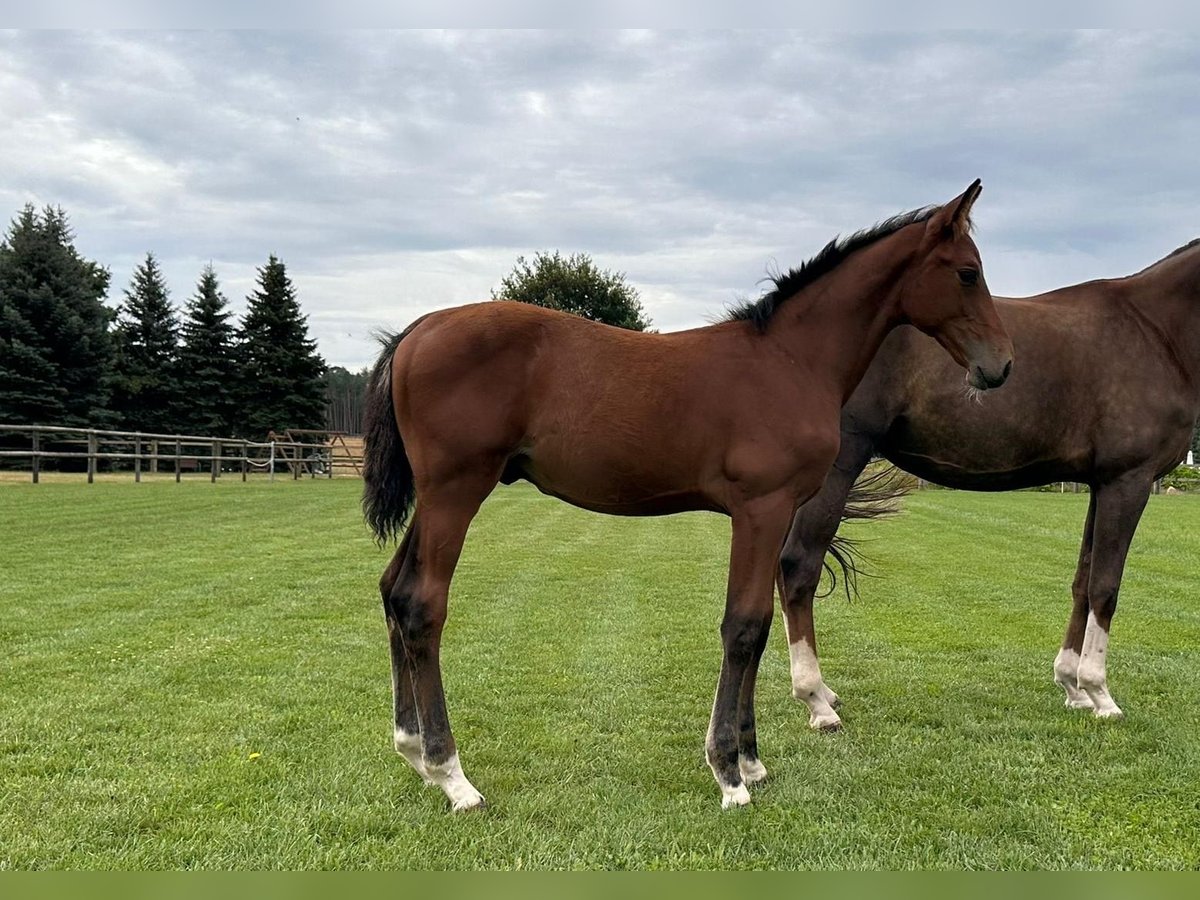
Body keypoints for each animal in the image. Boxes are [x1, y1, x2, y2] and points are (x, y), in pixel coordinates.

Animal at [357, 181, 1012, 811]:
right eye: (968, 272)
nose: (1000, 367)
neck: (790, 360)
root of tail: (417, 331)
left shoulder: (774, 514)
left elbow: (760, 625)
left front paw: (752, 761)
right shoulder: (760, 509)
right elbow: (742, 626)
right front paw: (729, 773)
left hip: (437, 499)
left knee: (394, 590)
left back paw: (413, 751)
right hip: (456, 491)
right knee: (422, 605)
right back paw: (451, 775)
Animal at [772, 234, 1200, 734]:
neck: (1156, 330)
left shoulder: (1100, 484)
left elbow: (1082, 580)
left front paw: (1072, 686)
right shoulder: (1127, 482)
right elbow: (1105, 587)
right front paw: (1099, 693)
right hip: (841, 464)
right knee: (798, 567)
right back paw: (815, 700)